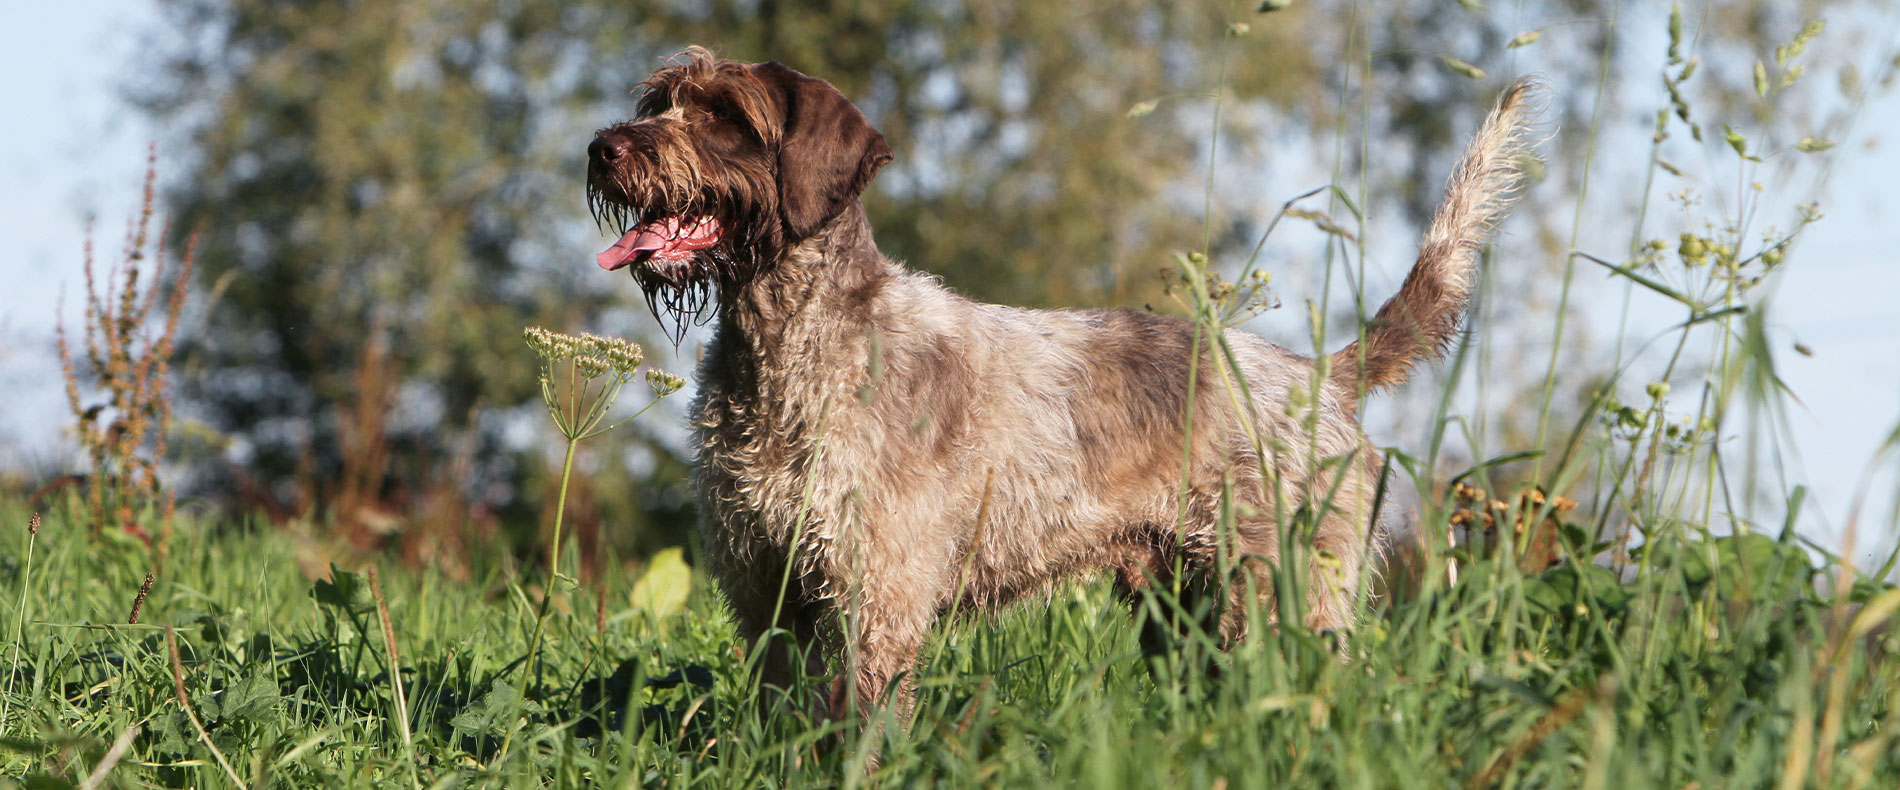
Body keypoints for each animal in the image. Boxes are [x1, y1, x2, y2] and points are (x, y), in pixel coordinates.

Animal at [585, 44, 1535, 721]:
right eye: (657, 102)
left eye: (723, 117)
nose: (602, 146)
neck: (783, 348)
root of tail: (1319, 377)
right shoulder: (764, 593)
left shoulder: (874, 598)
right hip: (1180, 608)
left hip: (1279, 600)